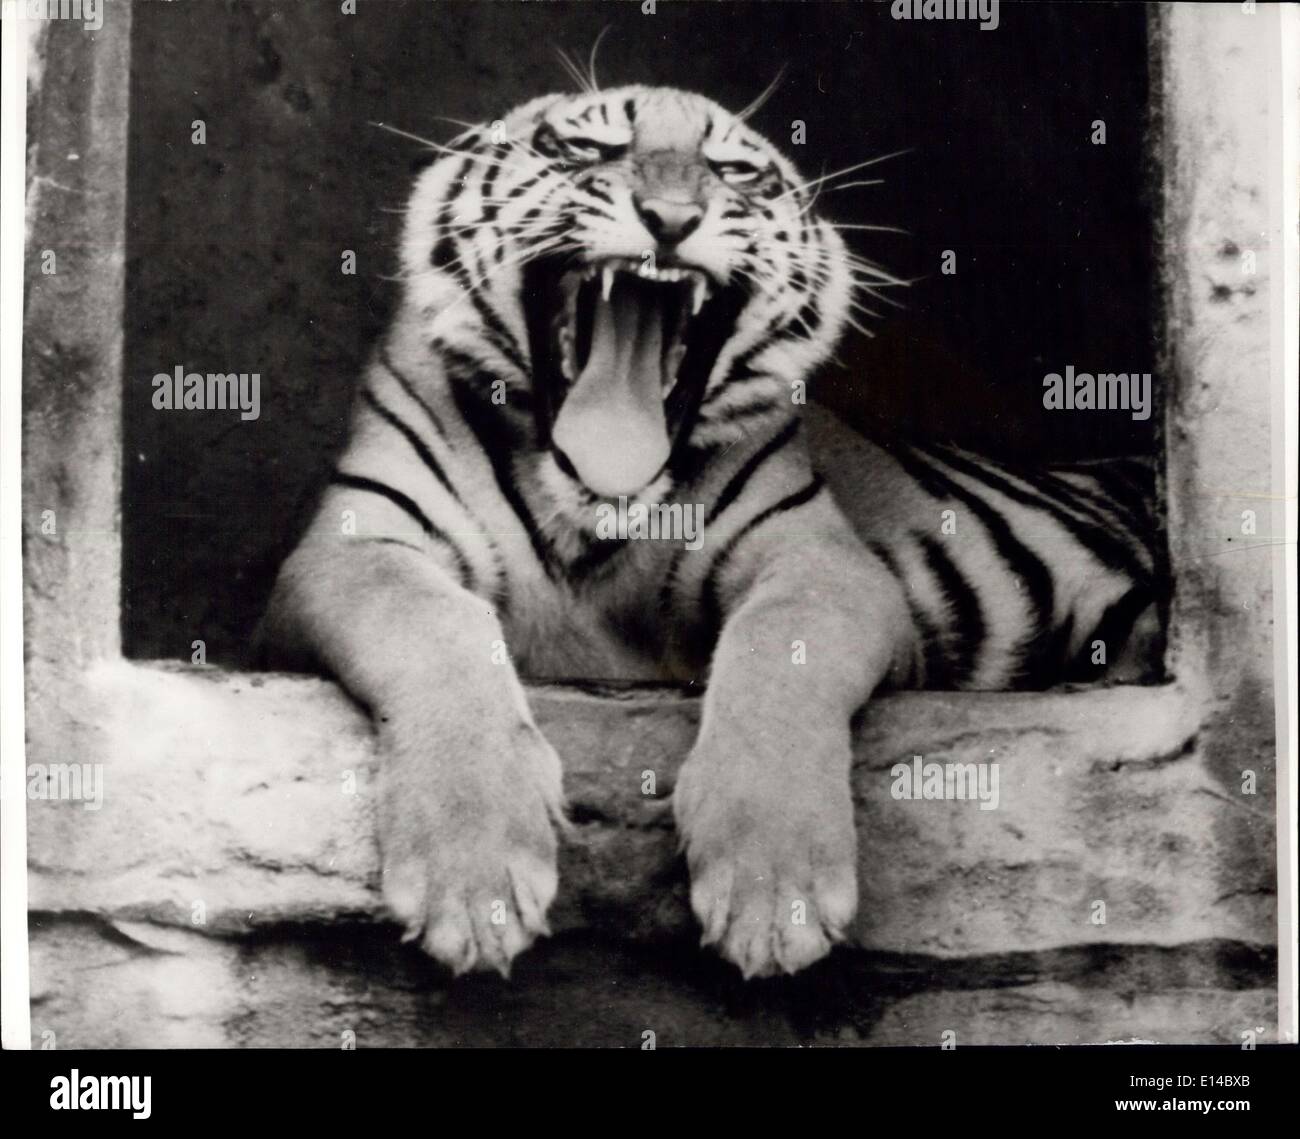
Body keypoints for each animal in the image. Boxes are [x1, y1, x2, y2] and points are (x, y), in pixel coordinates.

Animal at [262, 84, 1163, 979]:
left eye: (734, 170)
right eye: (585, 149)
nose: (669, 216)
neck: (591, 517)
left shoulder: (815, 554)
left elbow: (780, 654)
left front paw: (775, 889)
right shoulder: (353, 543)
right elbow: (431, 626)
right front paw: (472, 872)